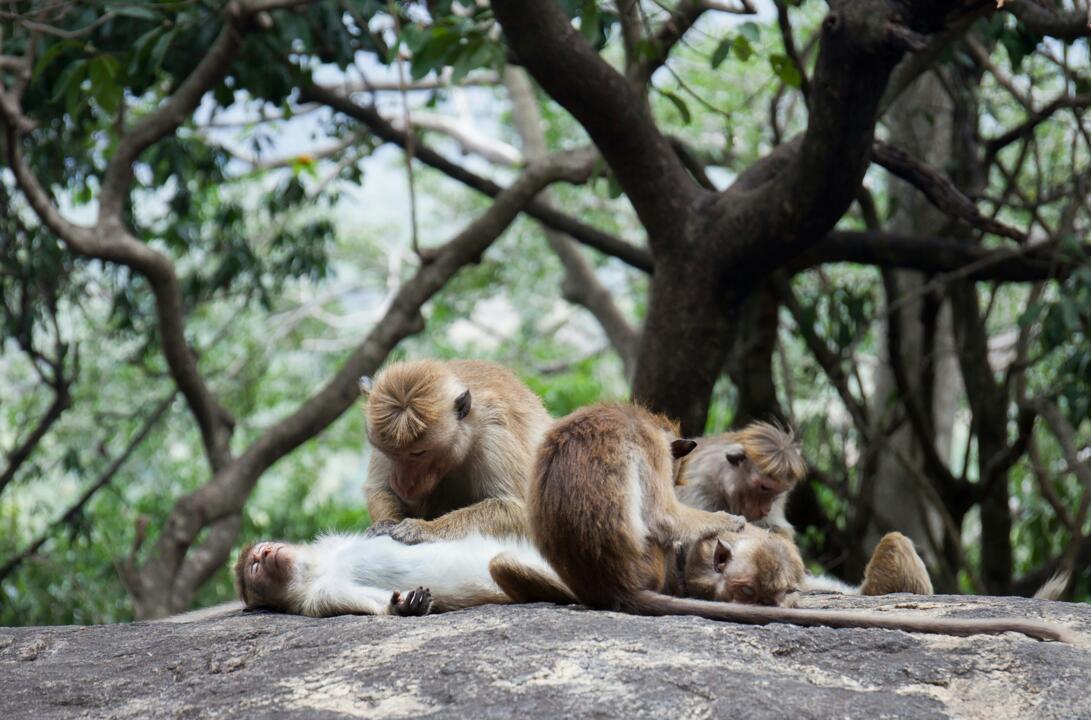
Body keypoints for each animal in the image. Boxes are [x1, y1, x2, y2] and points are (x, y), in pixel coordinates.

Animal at [233, 528, 567, 619]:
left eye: (263, 550)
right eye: (255, 567)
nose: (265, 554)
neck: (314, 571)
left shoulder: (331, 542)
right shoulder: (319, 598)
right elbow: (373, 604)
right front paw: (406, 606)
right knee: (502, 563)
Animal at [362, 360, 554, 545]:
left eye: (418, 453)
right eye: (390, 453)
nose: (401, 484)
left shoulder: (494, 435)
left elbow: (520, 510)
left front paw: (426, 528)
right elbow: (380, 489)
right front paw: (386, 523)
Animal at [676, 421, 933, 597]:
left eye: (778, 491)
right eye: (763, 487)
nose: (765, 507)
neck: (720, 477)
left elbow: (777, 529)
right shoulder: (698, 487)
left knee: (894, 542)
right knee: (893, 541)